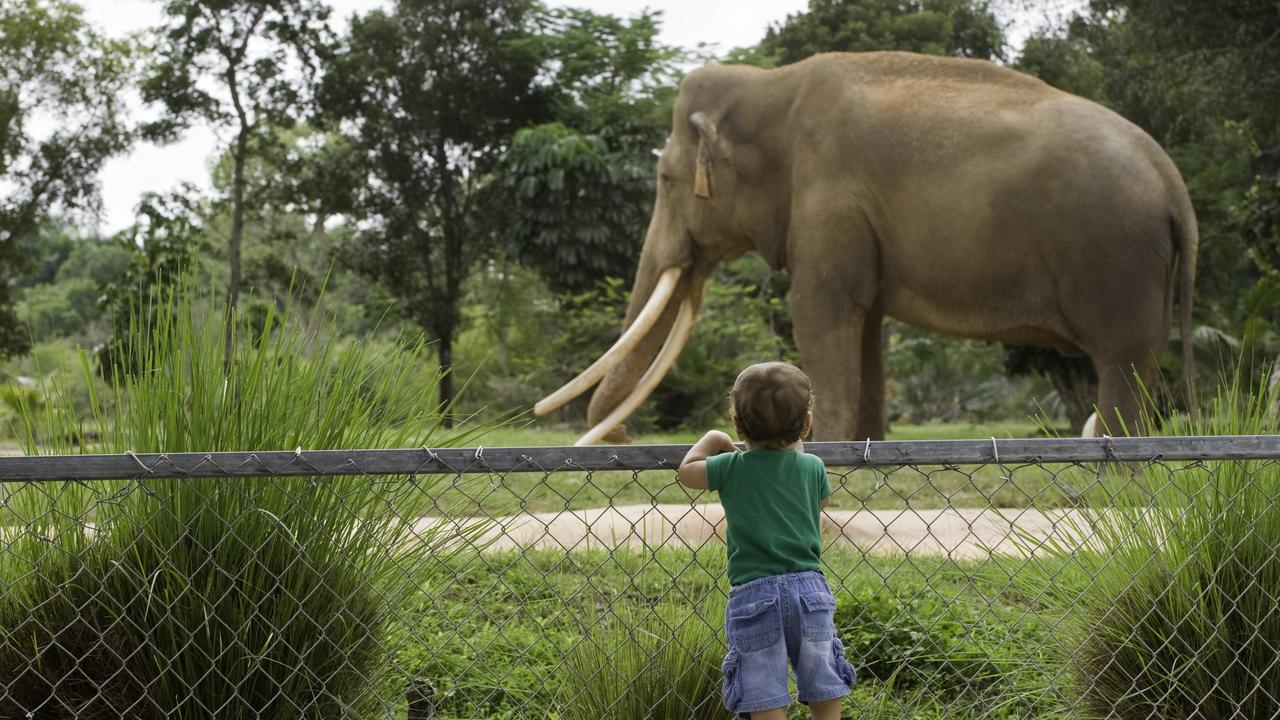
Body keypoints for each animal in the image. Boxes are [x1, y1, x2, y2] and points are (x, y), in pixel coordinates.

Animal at [535, 51, 1192, 443]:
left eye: (666, 180)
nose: (621, 437)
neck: (771, 84)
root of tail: (1173, 180)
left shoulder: (828, 197)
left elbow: (819, 313)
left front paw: (819, 448)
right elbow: (867, 325)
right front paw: (866, 449)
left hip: (1116, 258)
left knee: (1122, 359)